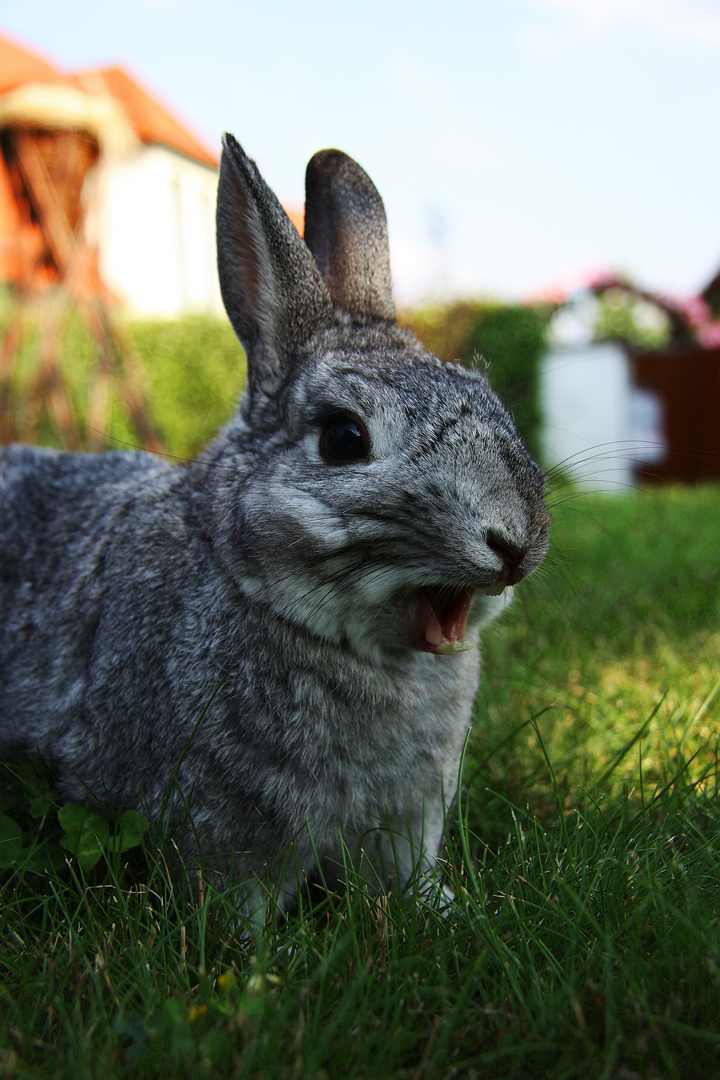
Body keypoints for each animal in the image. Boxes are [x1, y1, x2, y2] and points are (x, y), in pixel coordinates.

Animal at [1, 135, 552, 911]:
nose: (517, 542)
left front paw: (445, 912)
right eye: (344, 439)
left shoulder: (408, 825)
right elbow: (240, 906)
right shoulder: (222, 832)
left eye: (487, 397)